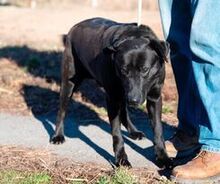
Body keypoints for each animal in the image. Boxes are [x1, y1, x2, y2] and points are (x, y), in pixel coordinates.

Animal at [51, 18, 170, 167]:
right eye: (124, 70)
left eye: (145, 69)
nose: (133, 100)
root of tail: (76, 26)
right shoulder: (113, 99)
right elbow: (117, 133)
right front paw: (121, 159)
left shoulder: (155, 98)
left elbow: (158, 129)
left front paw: (162, 157)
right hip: (69, 83)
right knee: (61, 110)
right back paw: (58, 135)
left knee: (124, 111)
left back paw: (133, 131)